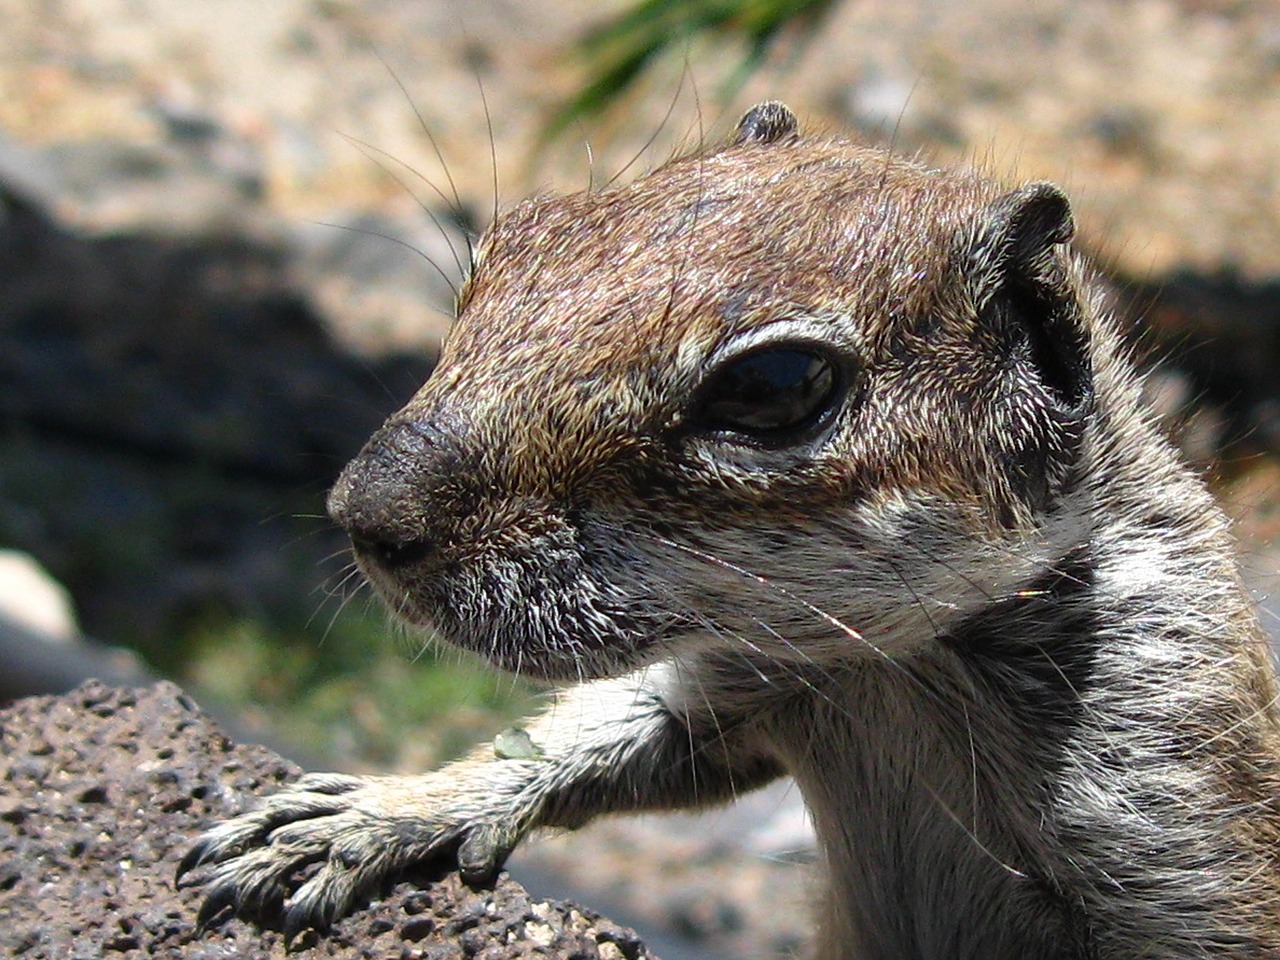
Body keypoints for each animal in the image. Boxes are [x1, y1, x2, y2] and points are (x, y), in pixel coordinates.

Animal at [177, 101, 1280, 957]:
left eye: (774, 384)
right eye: (515, 238)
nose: (365, 515)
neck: (899, 663)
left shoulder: (1178, 801)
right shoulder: (746, 679)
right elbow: (599, 734)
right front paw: (379, 813)